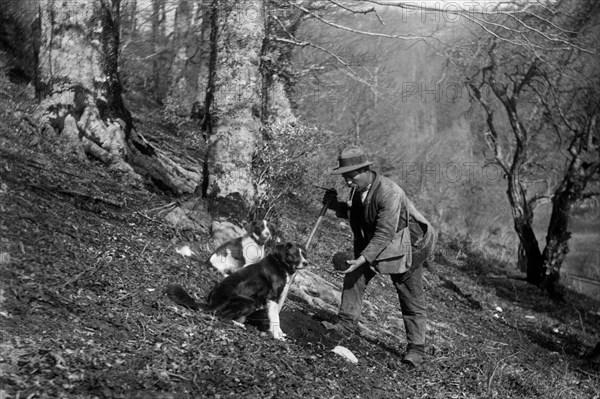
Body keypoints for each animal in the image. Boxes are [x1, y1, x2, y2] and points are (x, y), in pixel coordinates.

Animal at [169, 242, 310, 342]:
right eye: (295, 255)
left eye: (304, 254)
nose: (306, 263)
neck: (279, 263)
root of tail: (212, 303)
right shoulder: (273, 298)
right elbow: (276, 319)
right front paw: (277, 336)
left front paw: (279, 333)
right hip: (249, 302)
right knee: (222, 316)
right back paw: (237, 324)